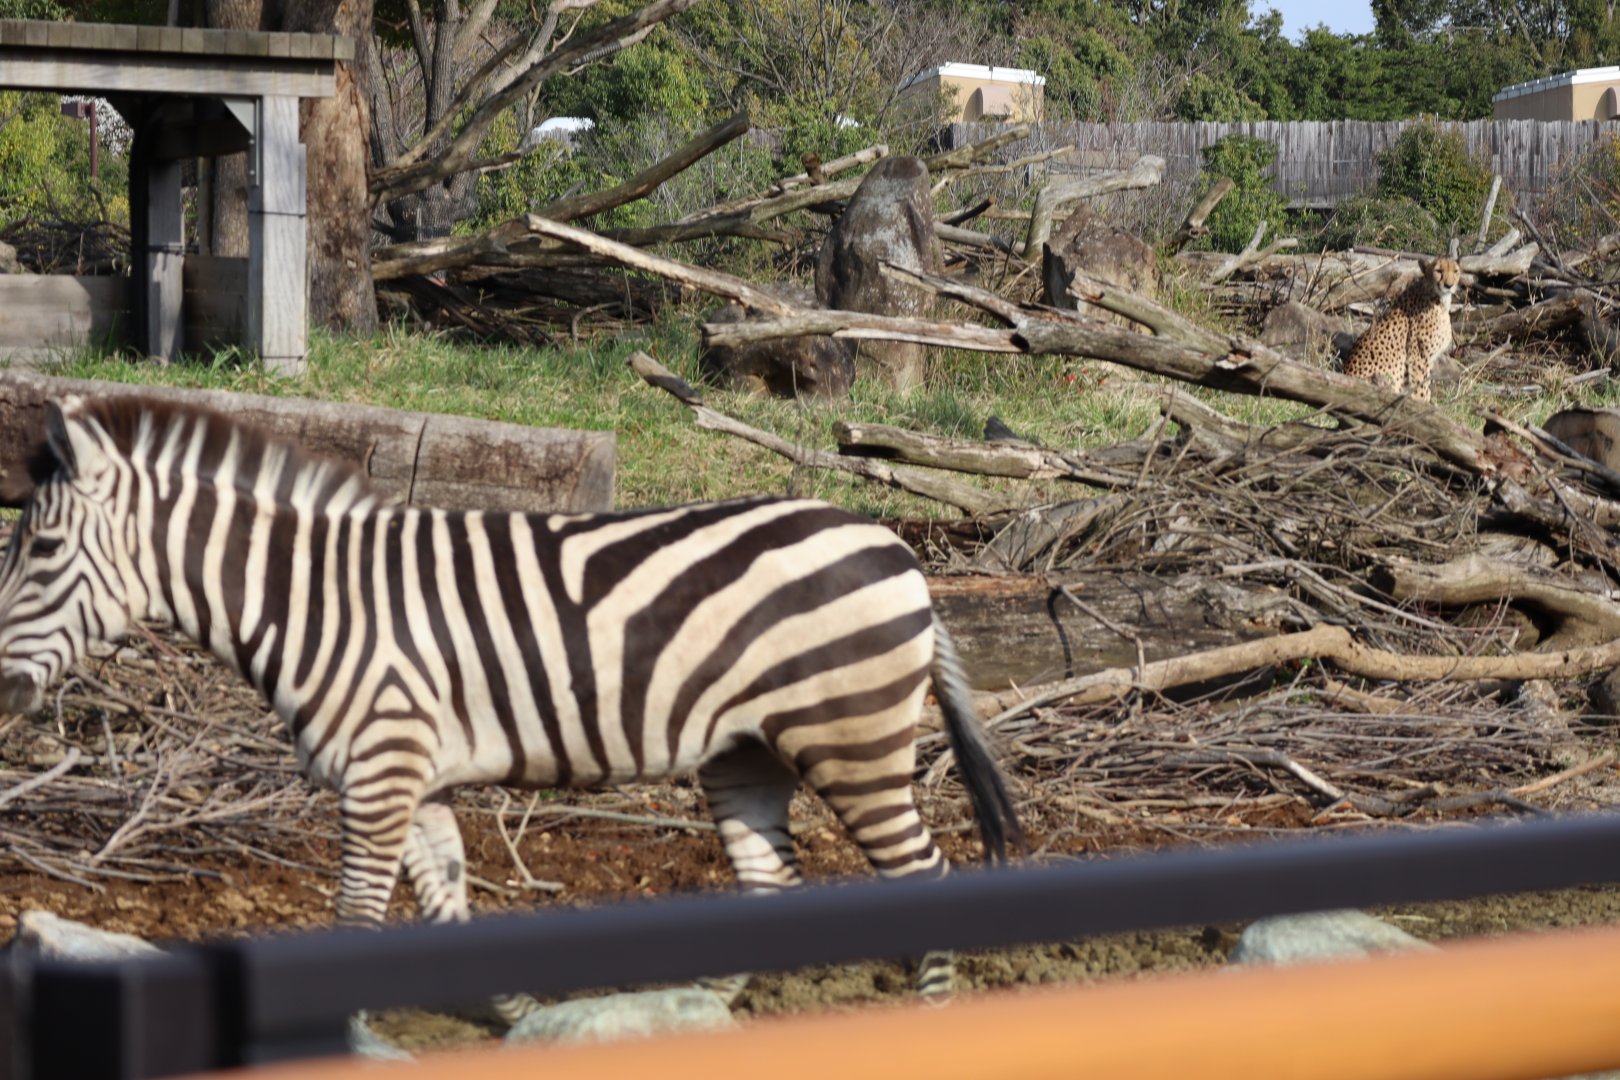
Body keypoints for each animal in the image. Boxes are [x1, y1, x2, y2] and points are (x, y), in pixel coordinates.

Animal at [0, 395, 1021, 1004]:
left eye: (38, 551)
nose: (1, 691)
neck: (316, 600)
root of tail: (898, 548)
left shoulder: (378, 772)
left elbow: (357, 916)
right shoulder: (416, 780)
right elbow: (447, 914)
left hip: (852, 740)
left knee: (925, 877)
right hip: (746, 755)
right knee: (774, 884)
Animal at [1342, 256, 1461, 403]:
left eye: (1456, 271)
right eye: (1438, 271)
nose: (1449, 285)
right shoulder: (1418, 358)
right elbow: (1420, 388)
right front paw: (1421, 404)